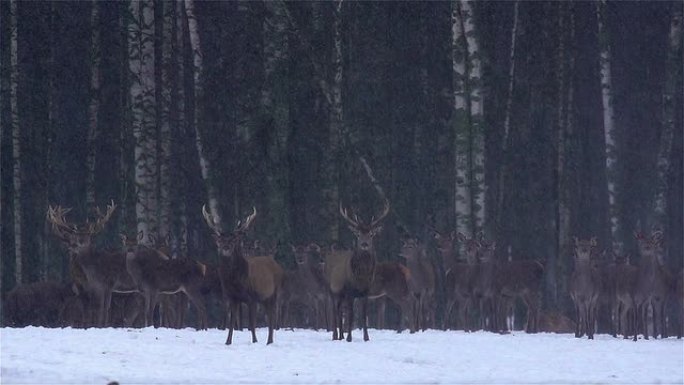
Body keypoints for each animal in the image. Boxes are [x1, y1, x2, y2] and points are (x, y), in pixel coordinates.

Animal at [200, 207, 284, 344]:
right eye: (220, 241)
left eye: (233, 240)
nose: (226, 248)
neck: (236, 281)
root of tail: (276, 264)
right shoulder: (233, 297)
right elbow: (232, 323)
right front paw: (228, 342)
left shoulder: (252, 297)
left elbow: (252, 324)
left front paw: (255, 341)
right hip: (264, 298)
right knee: (269, 316)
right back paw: (269, 341)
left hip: (274, 293)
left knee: (272, 316)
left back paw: (269, 341)